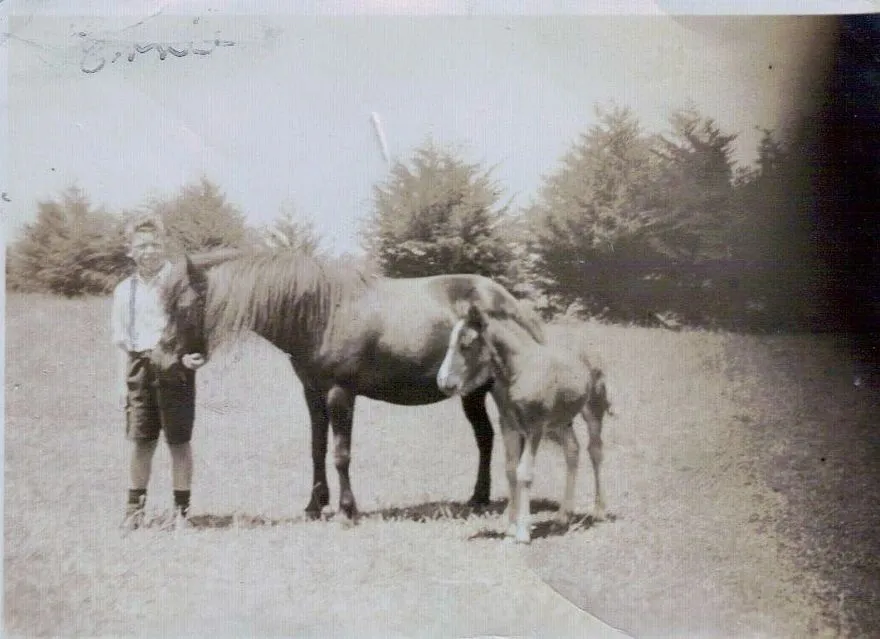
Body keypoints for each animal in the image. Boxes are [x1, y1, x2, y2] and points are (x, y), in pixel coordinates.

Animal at [153, 248, 547, 521]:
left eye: (183, 307)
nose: (159, 359)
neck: (322, 313)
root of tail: (511, 301)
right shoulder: (312, 393)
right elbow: (317, 448)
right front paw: (314, 504)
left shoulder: (341, 393)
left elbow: (341, 453)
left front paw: (346, 508)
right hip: (473, 393)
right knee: (486, 437)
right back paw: (478, 497)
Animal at [436, 303, 611, 544]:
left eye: (466, 344)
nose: (444, 382)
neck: (520, 370)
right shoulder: (508, 425)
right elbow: (511, 470)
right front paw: (510, 527)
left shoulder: (534, 427)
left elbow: (525, 473)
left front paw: (523, 532)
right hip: (561, 420)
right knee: (573, 451)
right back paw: (563, 516)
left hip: (594, 407)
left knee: (595, 450)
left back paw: (599, 511)